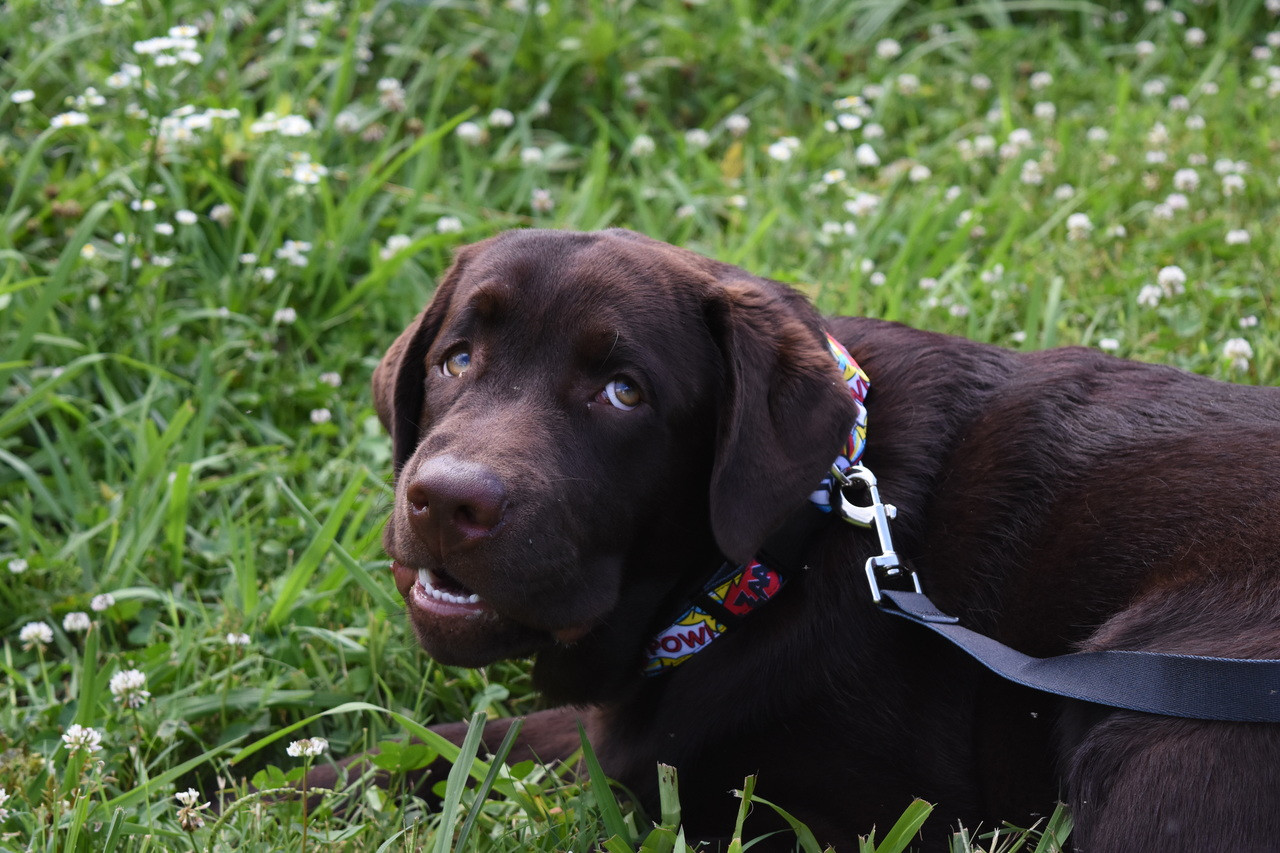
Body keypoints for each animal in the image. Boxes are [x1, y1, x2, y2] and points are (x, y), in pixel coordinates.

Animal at [366, 227, 1280, 850]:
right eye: (456, 359)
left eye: (623, 392)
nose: (445, 499)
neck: (782, 550)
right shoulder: (617, 729)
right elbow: (450, 741)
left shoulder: (836, 822)